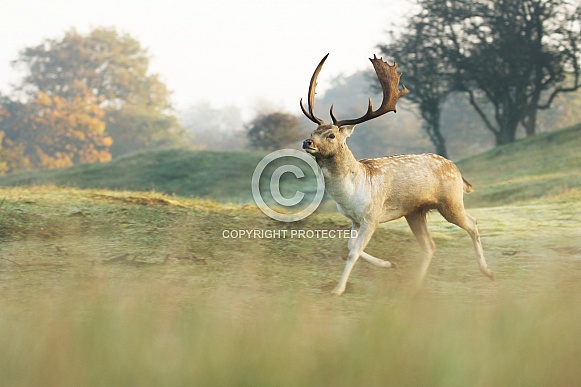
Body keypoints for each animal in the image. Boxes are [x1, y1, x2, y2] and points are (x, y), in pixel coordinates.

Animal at [300, 53, 494, 298]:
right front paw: (389, 264)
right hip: (415, 212)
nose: (307, 142)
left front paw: (337, 289)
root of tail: (458, 172)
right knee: (430, 245)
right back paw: (414, 287)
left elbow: (354, 251)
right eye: (313, 131)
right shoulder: (354, 219)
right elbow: (350, 247)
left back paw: (488, 272)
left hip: (451, 202)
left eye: (331, 135)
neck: (351, 191)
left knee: (472, 223)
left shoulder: (372, 215)